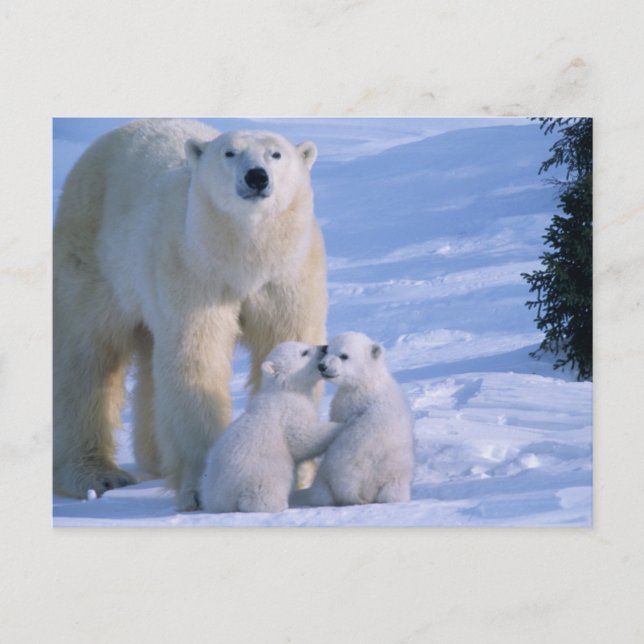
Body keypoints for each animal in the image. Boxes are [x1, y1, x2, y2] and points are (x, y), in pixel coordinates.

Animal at [53, 119, 327, 511]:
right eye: (230, 152)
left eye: (276, 154)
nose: (257, 177)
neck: (244, 259)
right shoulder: (193, 271)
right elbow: (196, 358)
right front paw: (201, 487)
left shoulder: (288, 276)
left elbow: (287, 346)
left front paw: (297, 474)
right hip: (94, 256)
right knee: (86, 357)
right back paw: (97, 474)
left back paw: (154, 459)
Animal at [200, 341, 340, 514]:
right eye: (304, 352)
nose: (325, 347)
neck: (283, 389)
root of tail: (223, 496)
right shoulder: (289, 411)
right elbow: (302, 439)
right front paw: (341, 425)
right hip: (262, 473)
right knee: (263, 494)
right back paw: (279, 504)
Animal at [291, 331, 415, 507]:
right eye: (329, 349)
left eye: (343, 355)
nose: (322, 366)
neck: (366, 382)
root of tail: (358, 490)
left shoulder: (348, 405)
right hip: (395, 479)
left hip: (331, 470)